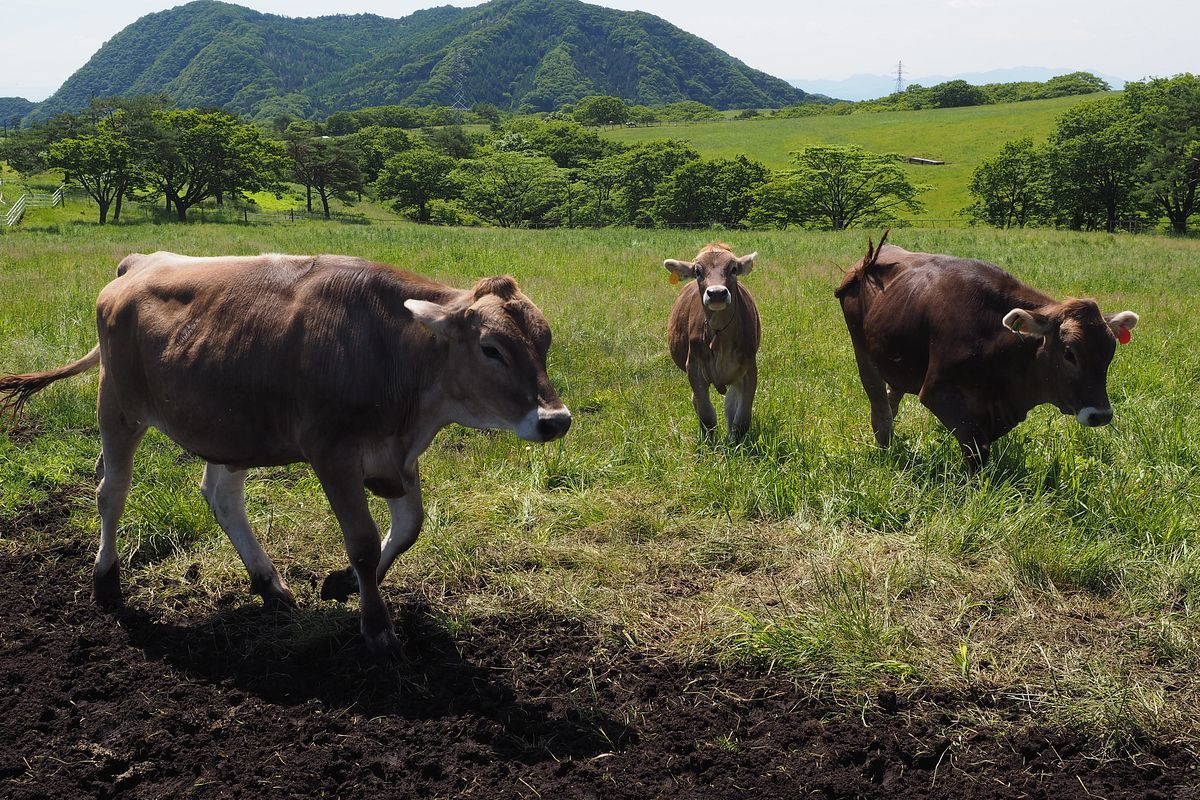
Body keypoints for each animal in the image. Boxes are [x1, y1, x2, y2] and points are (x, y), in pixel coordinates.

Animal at [0, 253, 571, 652]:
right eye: (491, 349)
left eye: (544, 343)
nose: (556, 420)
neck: (394, 354)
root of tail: (140, 263)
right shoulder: (333, 453)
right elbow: (364, 542)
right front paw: (376, 627)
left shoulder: (397, 458)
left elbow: (409, 528)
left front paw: (341, 585)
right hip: (118, 405)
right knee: (111, 491)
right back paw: (107, 581)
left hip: (227, 424)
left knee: (221, 496)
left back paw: (268, 582)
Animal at [667, 244, 758, 443]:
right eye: (697, 271)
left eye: (733, 269)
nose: (716, 293)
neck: (720, 334)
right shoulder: (694, 368)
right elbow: (706, 414)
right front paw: (710, 443)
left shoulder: (749, 369)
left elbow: (741, 417)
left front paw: (735, 443)